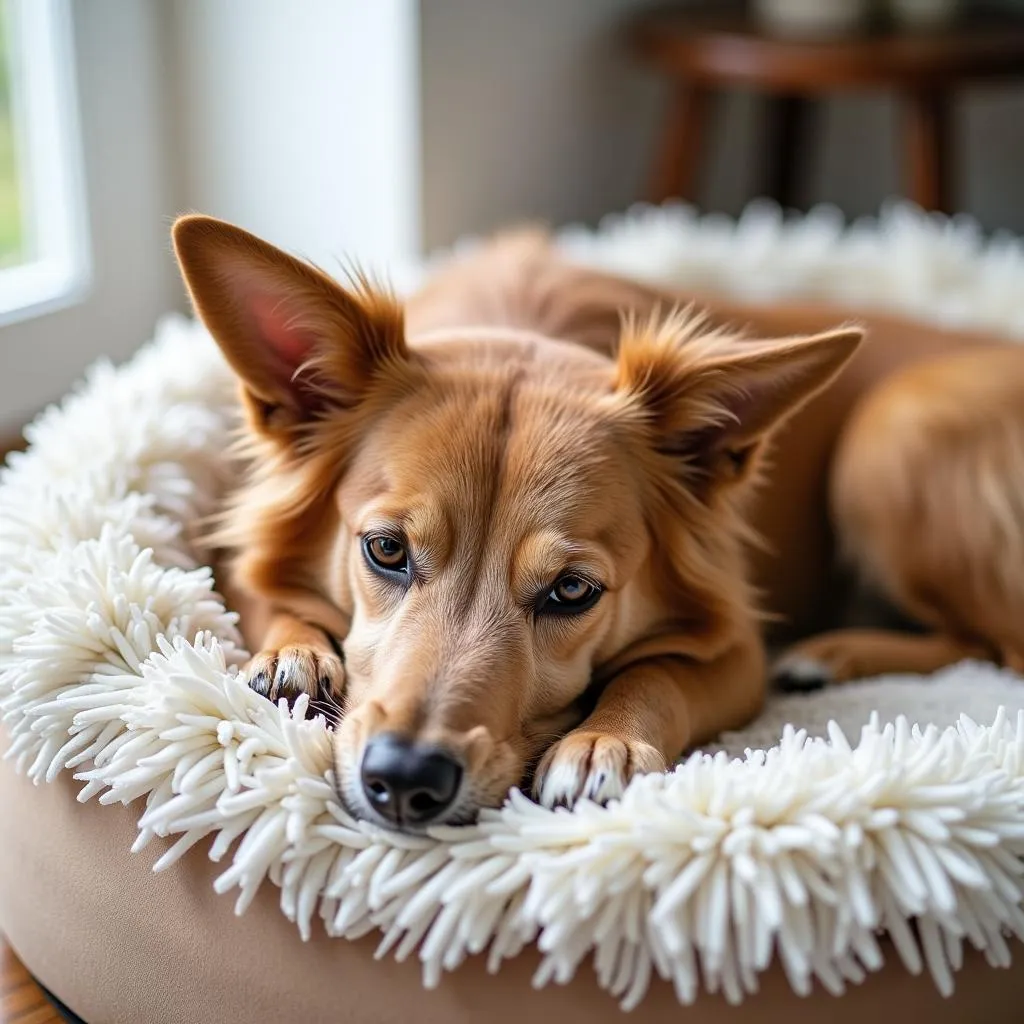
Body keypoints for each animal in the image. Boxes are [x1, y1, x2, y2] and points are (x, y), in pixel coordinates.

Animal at [172, 216, 1019, 831]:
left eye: (572, 591)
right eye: (385, 550)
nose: (406, 781)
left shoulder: (734, 646)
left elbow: (657, 674)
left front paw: (600, 744)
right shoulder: (236, 552)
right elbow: (265, 592)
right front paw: (296, 655)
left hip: (892, 430)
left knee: (996, 647)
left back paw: (830, 655)